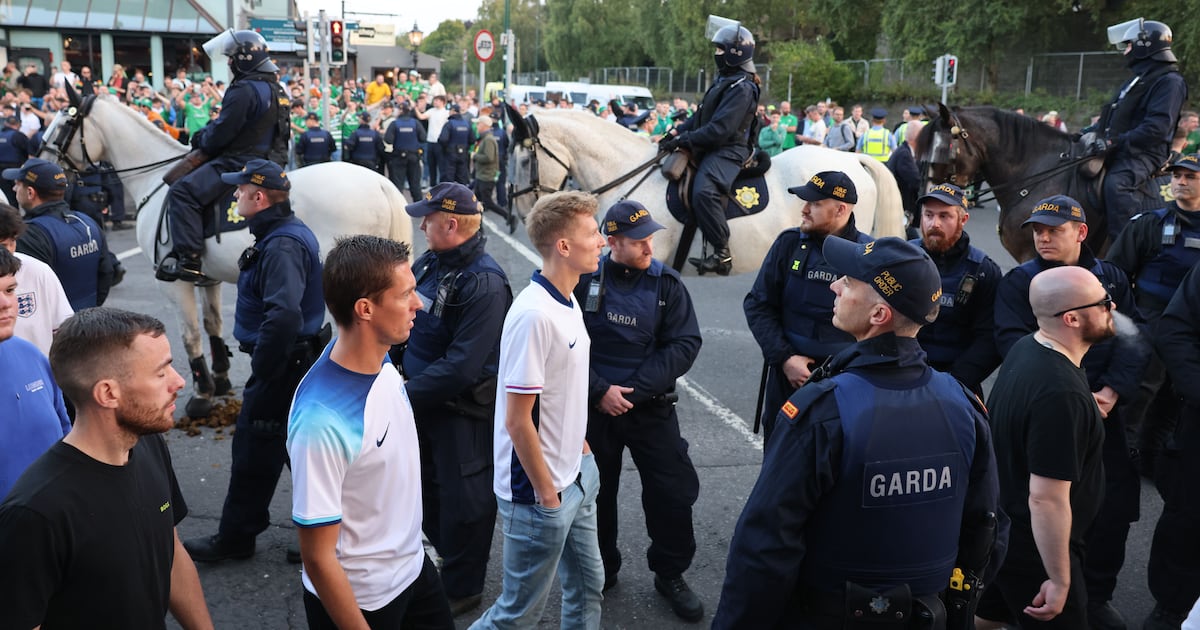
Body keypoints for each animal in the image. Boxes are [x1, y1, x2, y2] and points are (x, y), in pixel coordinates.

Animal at [39, 93, 415, 415]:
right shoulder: (207, 277)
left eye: (62, 123)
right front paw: (219, 379)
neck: (154, 180)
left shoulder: (173, 283)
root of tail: (380, 182)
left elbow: (190, 334)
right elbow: (213, 324)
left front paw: (201, 393)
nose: (43, 164)